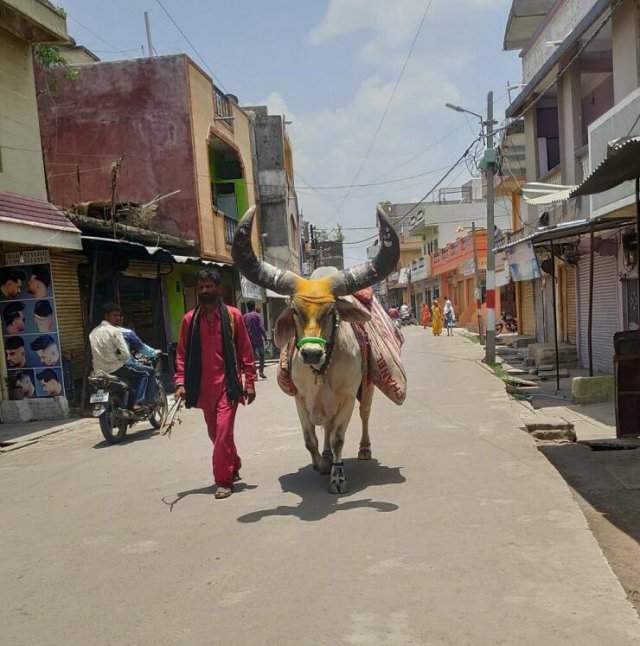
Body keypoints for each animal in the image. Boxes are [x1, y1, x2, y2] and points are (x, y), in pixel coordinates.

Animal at [230, 205, 400, 494]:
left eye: (331, 311)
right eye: (295, 310)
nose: (310, 353)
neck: (322, 371)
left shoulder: (346, 398)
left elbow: (339, 438)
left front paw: (337, 477)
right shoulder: (300, 399)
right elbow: (311, 440)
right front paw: (321, 464)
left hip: (367, 388)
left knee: (364, 415)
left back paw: (364, 449)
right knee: (326, 430)